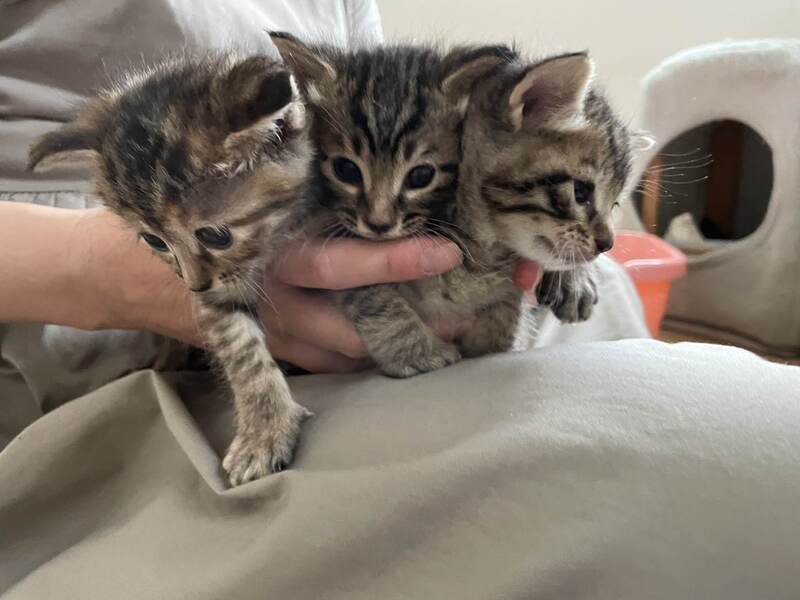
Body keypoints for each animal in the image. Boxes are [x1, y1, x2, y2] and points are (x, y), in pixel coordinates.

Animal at [29, 53, 314, 486]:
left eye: (215, 236)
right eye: (155, 241)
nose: (194, 285)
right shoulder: (219, 298)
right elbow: (243, 353)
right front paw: (264, 430)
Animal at [270, 33, 632, 376]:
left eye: (615, 204)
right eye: (581, 192)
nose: (607, 244)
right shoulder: (321, 227)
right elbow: (372, 294)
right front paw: (414, 351)